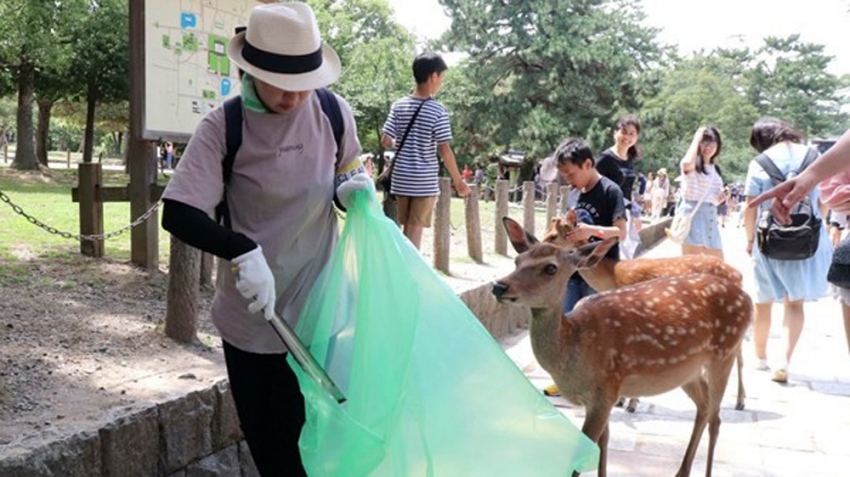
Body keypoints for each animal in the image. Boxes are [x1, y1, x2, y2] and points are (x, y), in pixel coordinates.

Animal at [536, 212, 744, 410]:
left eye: (553, 235)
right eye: (546, 231)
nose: (536, 248)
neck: (613, 277)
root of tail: (739, 275)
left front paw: (630, 403)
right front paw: (624, 401)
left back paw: (739, 401)